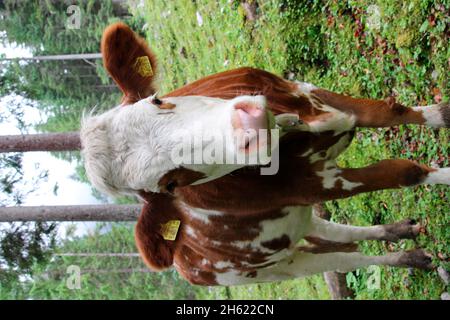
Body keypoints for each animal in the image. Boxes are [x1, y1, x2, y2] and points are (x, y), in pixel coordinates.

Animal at [79, 23, 448, 286]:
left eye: (158, 100)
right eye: (170, 184)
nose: (248, 126)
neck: (292, 127)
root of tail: (184, 263)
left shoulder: (308, 92)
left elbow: (393, 112)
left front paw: (442, 113)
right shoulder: (318, 184)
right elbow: (405, 172)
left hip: (294, 220)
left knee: (332, 232)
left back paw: (398, 233)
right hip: (279, 266)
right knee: (348, 258)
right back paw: (410, 258)